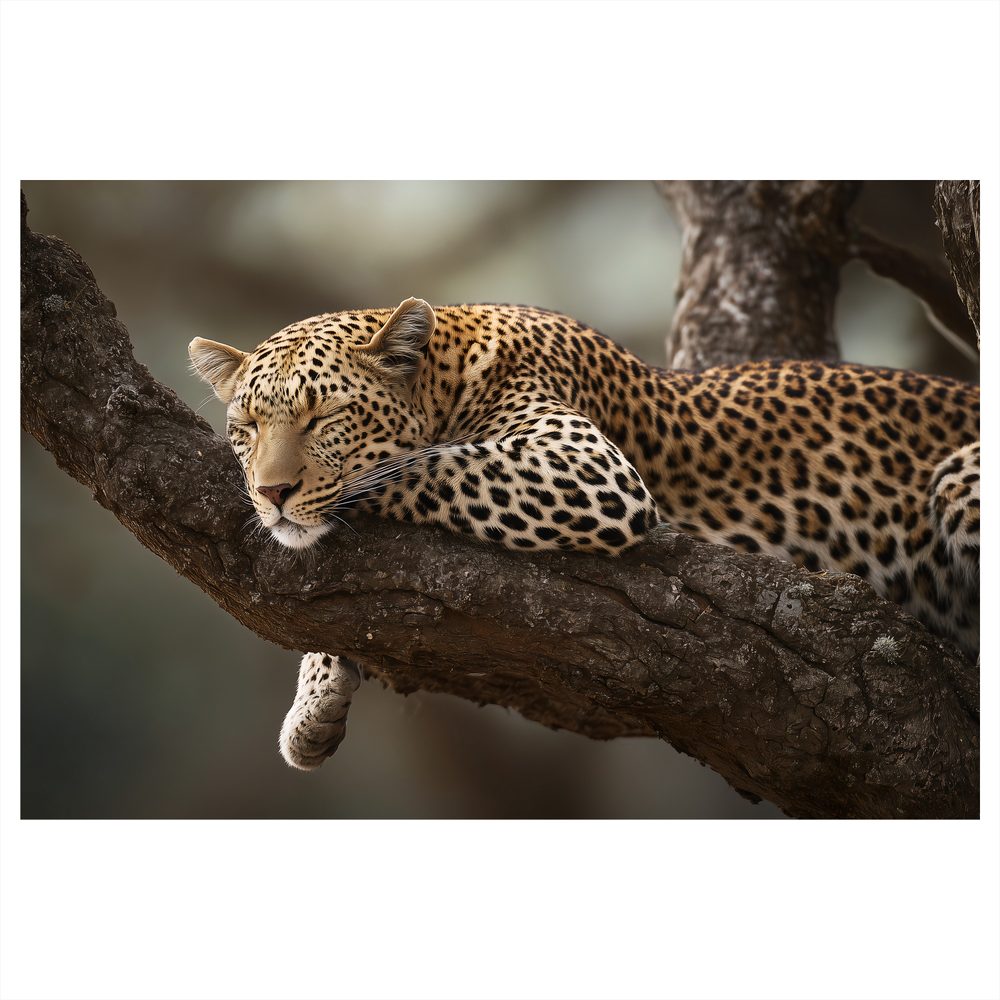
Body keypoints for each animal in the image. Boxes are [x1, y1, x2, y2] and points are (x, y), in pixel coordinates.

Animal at [189, 297, 981, 769]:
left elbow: (424, 467)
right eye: (246, 427)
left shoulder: (587, 469)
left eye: (323, 417)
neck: (447, 368)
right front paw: (313, 705)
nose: (271, 494)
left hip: (961, 478)